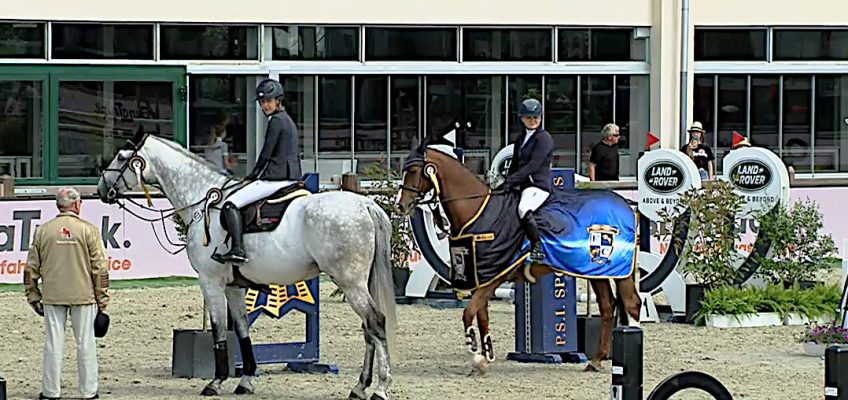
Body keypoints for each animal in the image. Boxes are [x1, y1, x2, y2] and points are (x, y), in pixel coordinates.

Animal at [94, 129, 400, 400]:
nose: (101, 189)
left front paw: (215, 382)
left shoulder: (210, 282)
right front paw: (246, 381)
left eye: (121, 157)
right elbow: (241, 330)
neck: (203, 200)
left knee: (376, 322)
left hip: (350, 282)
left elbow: (218, 330)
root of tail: (365, 205)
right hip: (357, 283)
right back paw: (359, 387)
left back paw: (381, 389)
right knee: (368, 329)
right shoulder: (234, 286)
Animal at [394, 133, 640, 374]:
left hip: (619, 271)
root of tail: (626, 205)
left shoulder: (497, 275)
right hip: (595, 271)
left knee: (632, 304)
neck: (477, 211)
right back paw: (596, 360)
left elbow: (469, 313)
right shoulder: (481, 276)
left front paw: (476, 356)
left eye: (414, 171)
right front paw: (486, 357)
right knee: (607, 307)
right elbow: (481, 317)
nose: (401, 206)